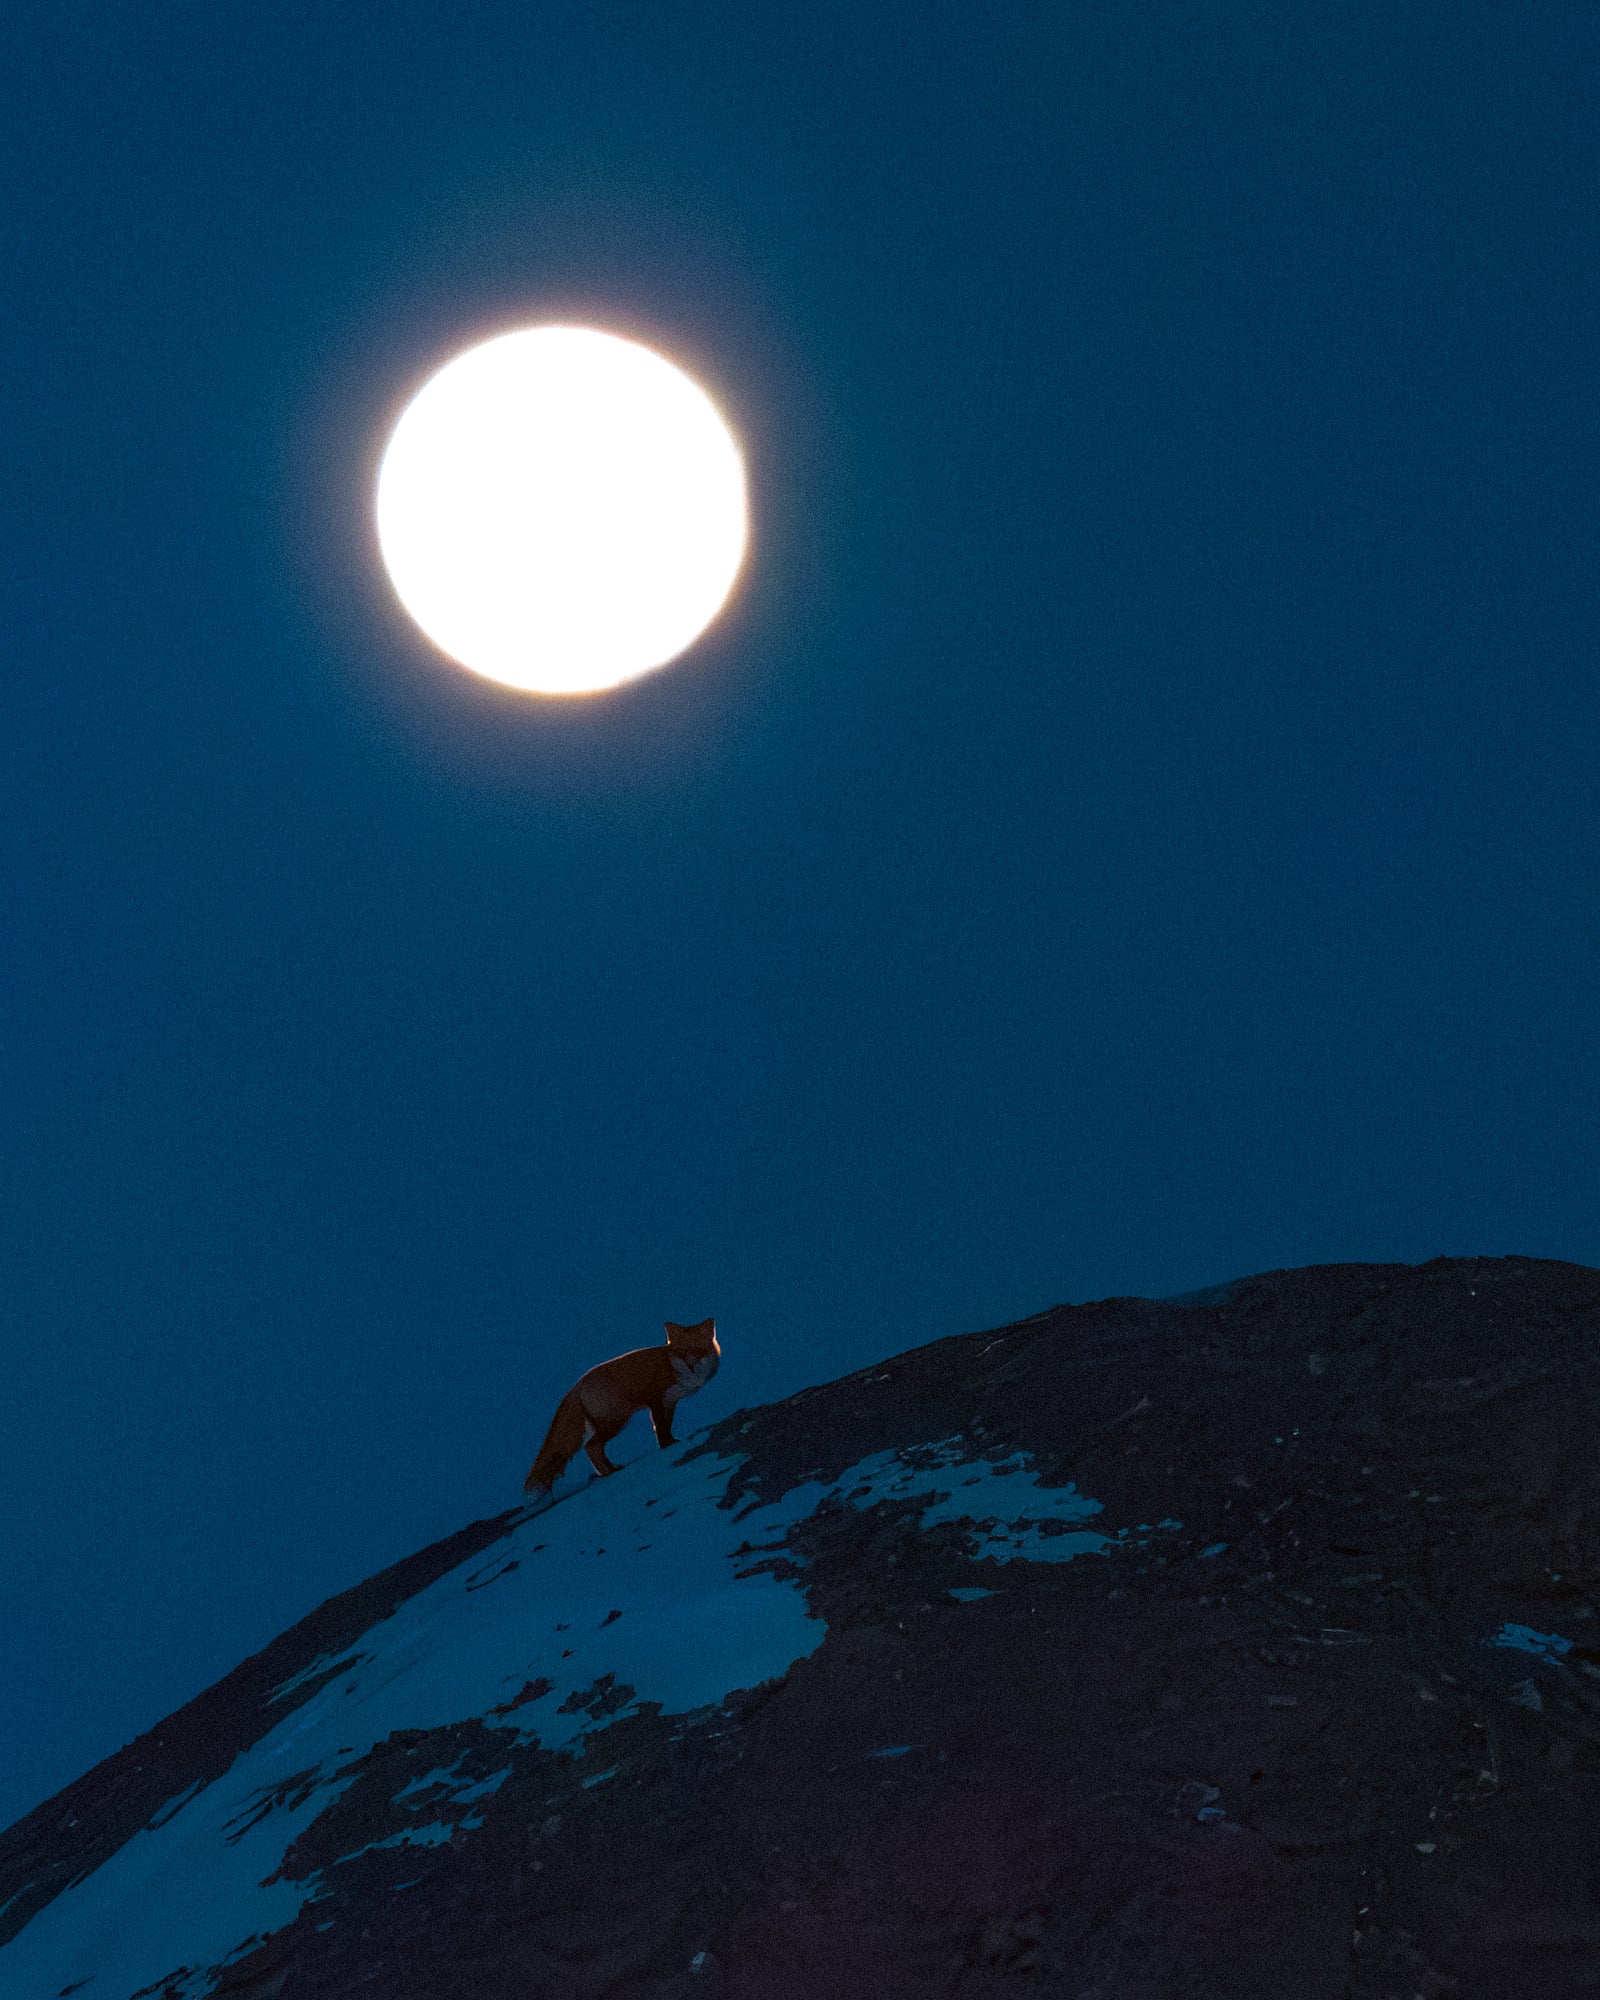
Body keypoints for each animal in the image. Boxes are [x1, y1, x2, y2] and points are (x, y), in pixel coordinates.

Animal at [522, 1318, 720, 1500]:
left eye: (698, 1350)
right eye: (682, 1352)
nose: (691, 1366)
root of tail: (575, 1387)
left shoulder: (671, 1402)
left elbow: (666, 1426)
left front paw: (671, 1441)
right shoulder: (655, 1400)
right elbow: (660, 1429)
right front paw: (666, 1446)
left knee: (594, 1448)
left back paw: (609, 1471)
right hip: (616, 1422)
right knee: (590, 1447)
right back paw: (609, 1471)